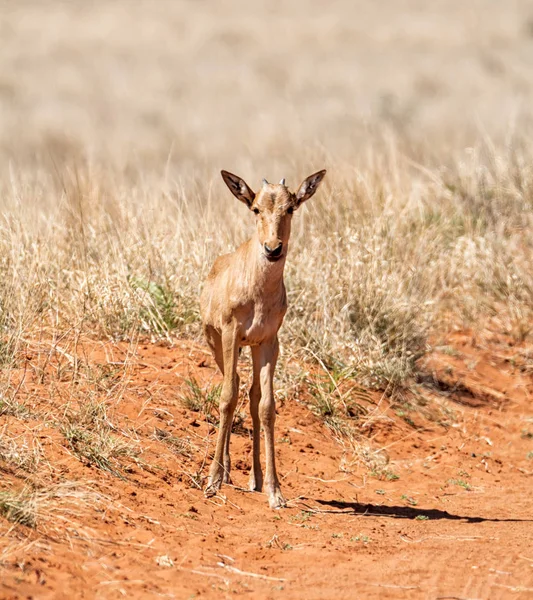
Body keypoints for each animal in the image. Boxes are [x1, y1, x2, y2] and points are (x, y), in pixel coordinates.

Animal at [200, 168, 324, 506]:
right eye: (255, 208)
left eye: (291, 207)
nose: (272, 249)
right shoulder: (231, 335)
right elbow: (227, 397)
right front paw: (213, 480)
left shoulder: (269, 342)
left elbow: (267, 407)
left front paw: (274, 490)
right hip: (218, 344)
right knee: (233, 385)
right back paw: (226, 471)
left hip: (252, 347)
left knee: (253, 396)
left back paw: (254, 478)